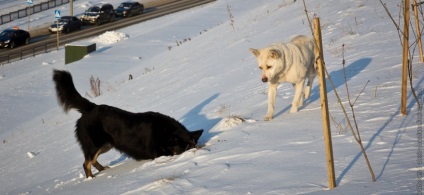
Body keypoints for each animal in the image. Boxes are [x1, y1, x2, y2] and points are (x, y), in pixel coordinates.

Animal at [52, 70, 203, 178]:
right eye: (184, 150)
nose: (195, 152)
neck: (165, 132)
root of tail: (90, 108)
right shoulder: (156, 152)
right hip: (94, 144)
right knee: (86, 163)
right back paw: (91, 178)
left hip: (106, 144)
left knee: (92, 161)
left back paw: (103, 170)